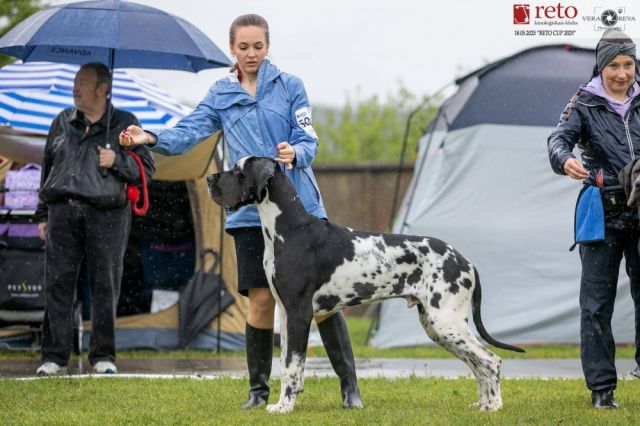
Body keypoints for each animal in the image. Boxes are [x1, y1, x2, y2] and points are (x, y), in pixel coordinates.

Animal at [207, 156, 524, 414]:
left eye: (238, 171)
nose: (210, 179)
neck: (289, 229)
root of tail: (464, 260)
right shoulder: (285, 315)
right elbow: (286, 366)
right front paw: (281, 403)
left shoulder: (299, 313)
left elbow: (294, 367)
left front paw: (285, 407)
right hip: (438, 326)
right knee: (477, 364)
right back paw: (482, 404)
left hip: (446, 321)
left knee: (490, 360)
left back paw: (494, 406)